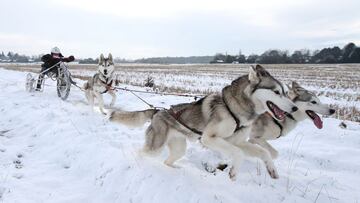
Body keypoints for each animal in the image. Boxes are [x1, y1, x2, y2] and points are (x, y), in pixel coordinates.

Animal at [110, 64, 298, 179]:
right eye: (276, 92)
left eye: (285, 92)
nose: (295, 108)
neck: (236, 109)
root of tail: (158, 111)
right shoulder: (209, 138)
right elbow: (238, 153)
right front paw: (233, 172)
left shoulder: (237, 141)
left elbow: (263, 152)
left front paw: (272, 169)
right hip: (155, 148)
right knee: (140, 152)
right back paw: (138, 164)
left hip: (179, 148)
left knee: (167, 161)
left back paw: (174, 170)